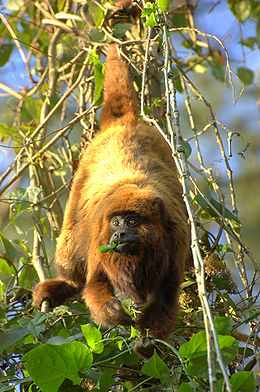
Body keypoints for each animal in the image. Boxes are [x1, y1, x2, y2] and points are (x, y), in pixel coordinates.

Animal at [33, 43, 191, 358]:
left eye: (132, 221)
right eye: (116, 222)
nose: (118, 234)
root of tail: (124, 123)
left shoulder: (175, 237)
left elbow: (166, 298)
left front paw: (148, 342)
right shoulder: (99, 235)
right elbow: (94, 284)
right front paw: (115, 314)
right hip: (80, 179)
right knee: (70, 246)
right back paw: (65, 284)